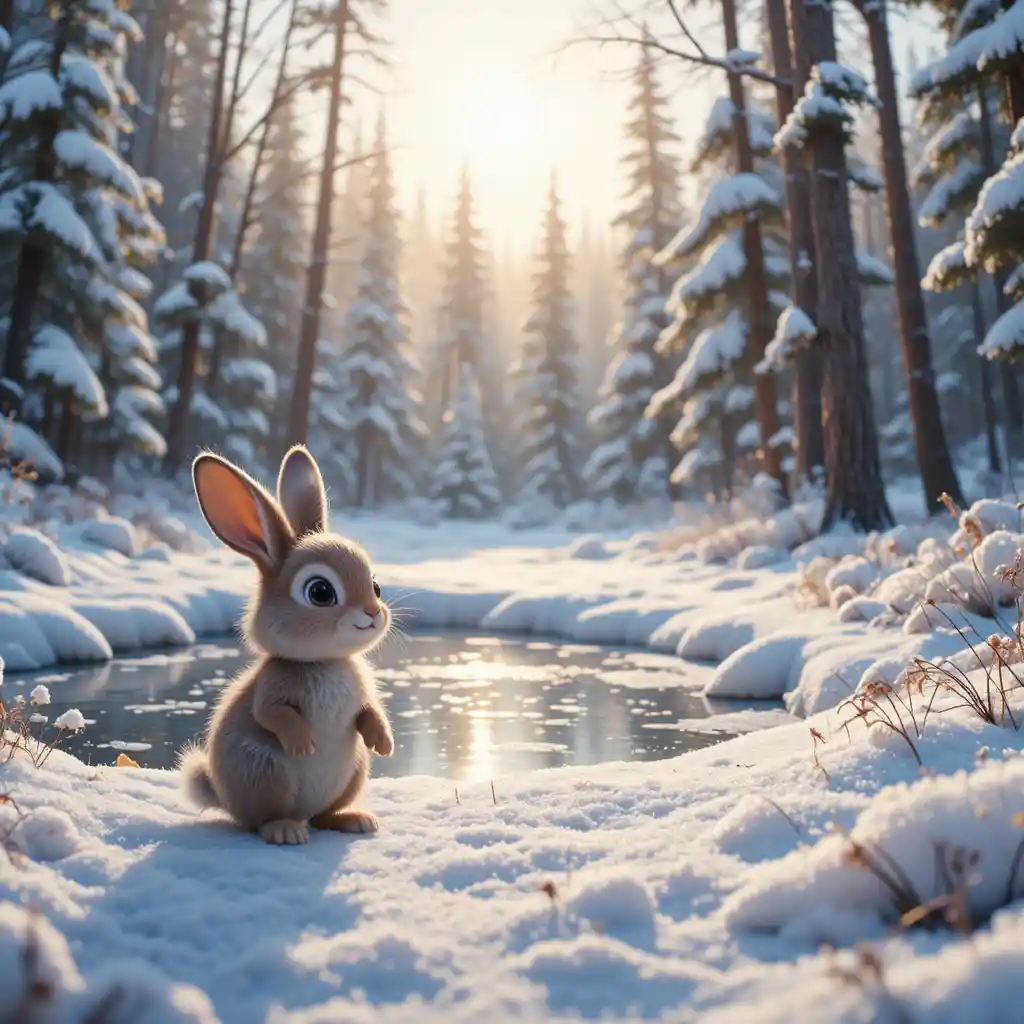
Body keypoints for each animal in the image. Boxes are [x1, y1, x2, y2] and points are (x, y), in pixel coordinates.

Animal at [177, 444, 394, 846]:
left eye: (375, 586)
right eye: (320, 592)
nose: (373, 613)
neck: (324, 661)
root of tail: (224, 799)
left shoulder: (363, 697)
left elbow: (370, 712)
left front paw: (384, 742)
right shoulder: (272, 688)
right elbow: (271, 714)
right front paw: (303, 743)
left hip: (355, 771)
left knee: (323, 816)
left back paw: (353, 820)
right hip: (266, 773)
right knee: (259, 821)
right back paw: (284, 830)